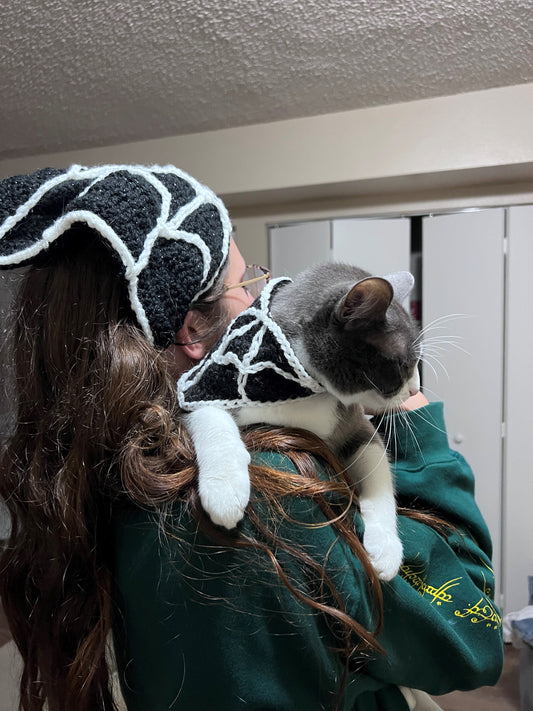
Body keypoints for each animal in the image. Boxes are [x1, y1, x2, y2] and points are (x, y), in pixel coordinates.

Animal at [179, 264, 420, 580]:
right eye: (404, 364)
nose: (415, 389)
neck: (295, 388)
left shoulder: (351, 419)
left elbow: (376, 464)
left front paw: (386, 548)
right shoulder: (201, 384)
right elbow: (208, 415)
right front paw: (225, 490)